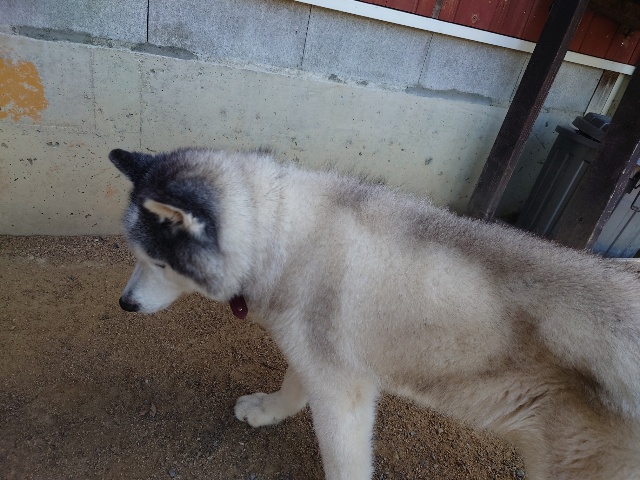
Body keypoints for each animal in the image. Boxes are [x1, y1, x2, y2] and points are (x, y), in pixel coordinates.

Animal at [109, 147, 640, 479]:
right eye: (136, 255)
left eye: (158, 262)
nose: (125, 305)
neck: (278, 232)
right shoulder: (320, 356)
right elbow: (293, 386)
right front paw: (268, 411)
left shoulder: (344, 390)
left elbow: (344, 462)